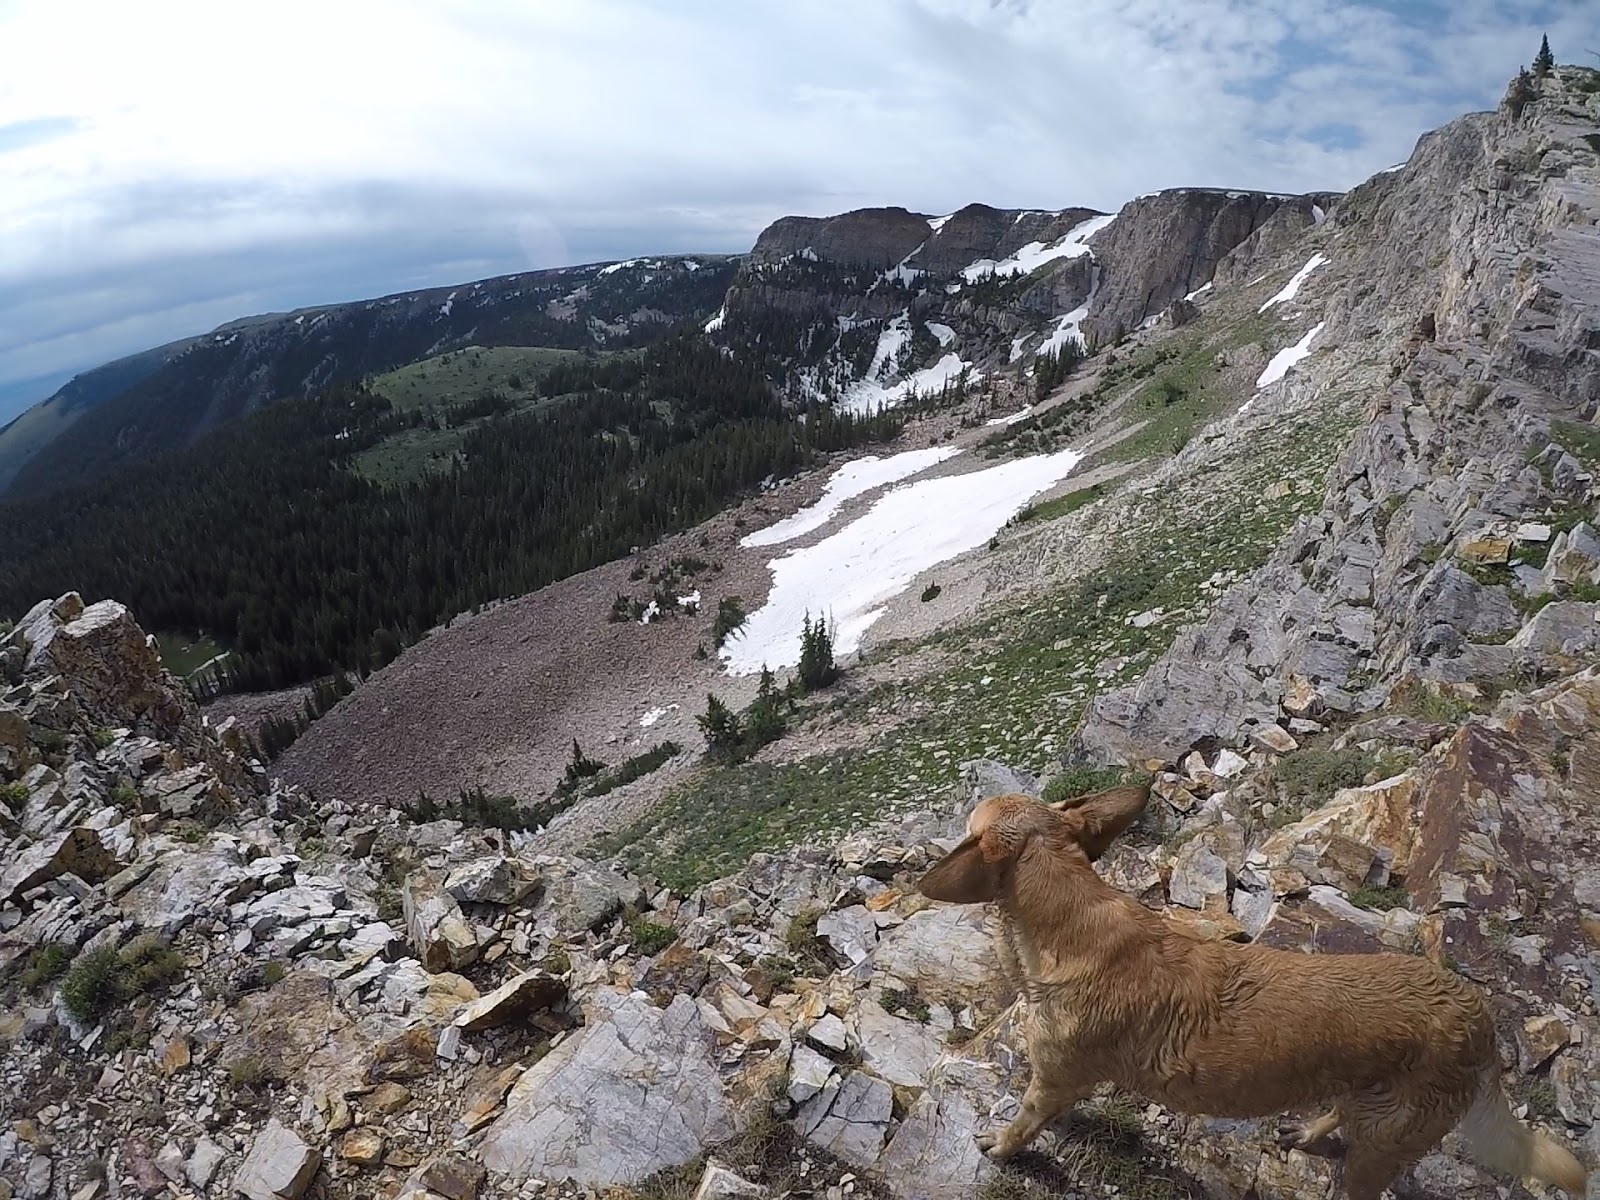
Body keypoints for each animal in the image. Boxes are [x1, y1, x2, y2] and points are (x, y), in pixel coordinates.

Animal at [915, 790, 1587, 1200]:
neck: (1071, 915)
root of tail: (1476, 1014)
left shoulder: (1051, 1078)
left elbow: (1025, 1123)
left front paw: (1002, 1147)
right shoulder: (1062, 1079)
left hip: (1386, 1144)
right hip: (1371, 1099)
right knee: (1343, 1111)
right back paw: (1309, 1132)